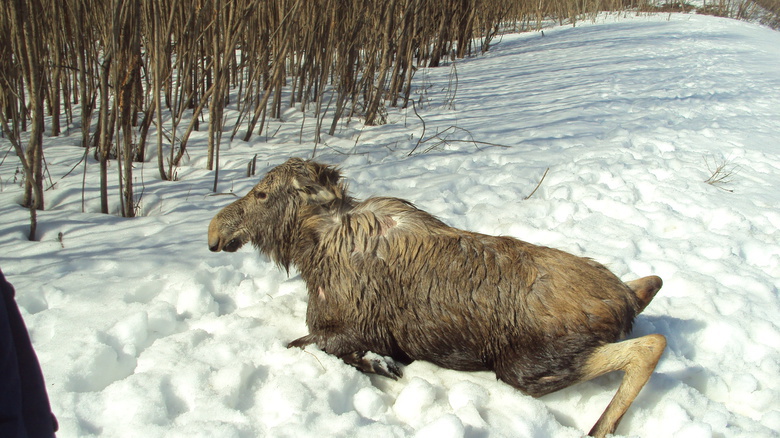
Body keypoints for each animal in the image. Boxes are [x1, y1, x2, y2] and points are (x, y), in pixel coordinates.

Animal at [207, 157, 664, 434]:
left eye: (263, 193)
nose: (214, 232)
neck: (310, 250)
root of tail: (623, 300)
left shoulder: (349, 328)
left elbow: (309, 344)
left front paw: (381, 364)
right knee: (654, 283)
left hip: (529, 364)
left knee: (650, 345)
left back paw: (601, 426)